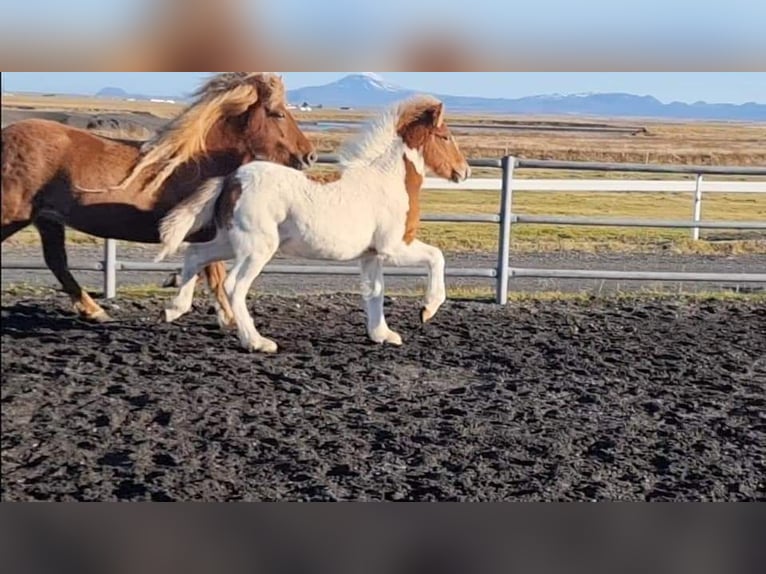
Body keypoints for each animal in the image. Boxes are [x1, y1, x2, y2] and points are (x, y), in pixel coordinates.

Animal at [1, 72, 316, 324]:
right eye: (278, 113)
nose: (309, 156)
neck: (199, 163)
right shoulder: (205, 233)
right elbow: (215, 276)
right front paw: (227, 320)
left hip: (47, 220)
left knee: (57, 262)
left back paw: (96, 312)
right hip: (13, 215)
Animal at [157, 97, 472, 354]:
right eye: (445, 137)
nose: (464, 171)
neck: (387, 180)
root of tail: (231, 180)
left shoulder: (371, 255)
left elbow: (375, 291)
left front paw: (382, 335)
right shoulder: (394, 247)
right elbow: (436, 257)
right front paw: (427, 309)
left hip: (231, 241)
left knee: (196, 254)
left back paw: (173, 310)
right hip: (257, 248)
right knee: (234, 285)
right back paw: (257, 342)